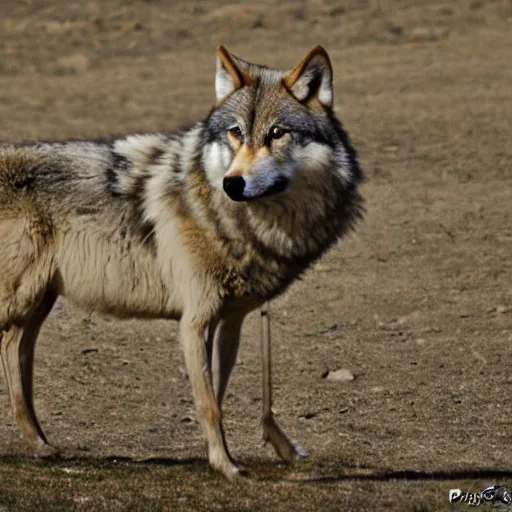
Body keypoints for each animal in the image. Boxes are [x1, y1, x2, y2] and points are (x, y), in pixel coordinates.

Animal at [0, 46, 364, 478]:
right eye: (236, 132)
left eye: (277, 133)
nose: (232, 183)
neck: (233, 222)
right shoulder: (194, 321)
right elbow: (208, 405)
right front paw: (227, 467)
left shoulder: (230, 320)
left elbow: (217, 396)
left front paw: (222, 458)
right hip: (22, 300)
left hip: (36, 304)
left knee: (14, 351)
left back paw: (40, 444)